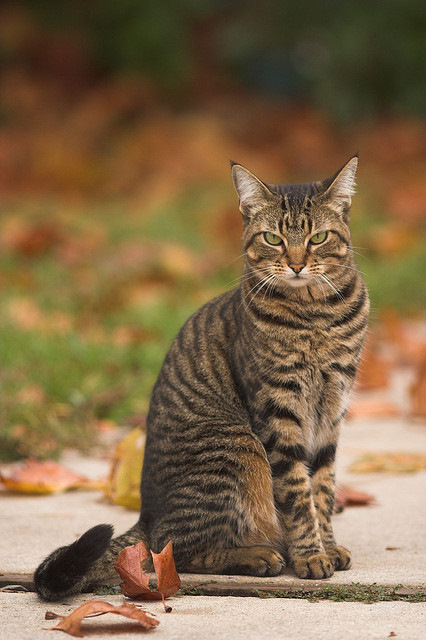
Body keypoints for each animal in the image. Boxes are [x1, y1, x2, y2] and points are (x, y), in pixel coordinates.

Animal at [35, 155, 370, 600]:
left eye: (318, 238)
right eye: (272, 239)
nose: (297, 263)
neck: (316, 315)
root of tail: (147, 516)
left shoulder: (332, 409)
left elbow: (323, 487)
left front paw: (328, 546)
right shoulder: (279, 411)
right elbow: (298, 495)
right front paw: (311, 555)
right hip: (237, 449)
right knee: (172, 550)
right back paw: (259, 556)